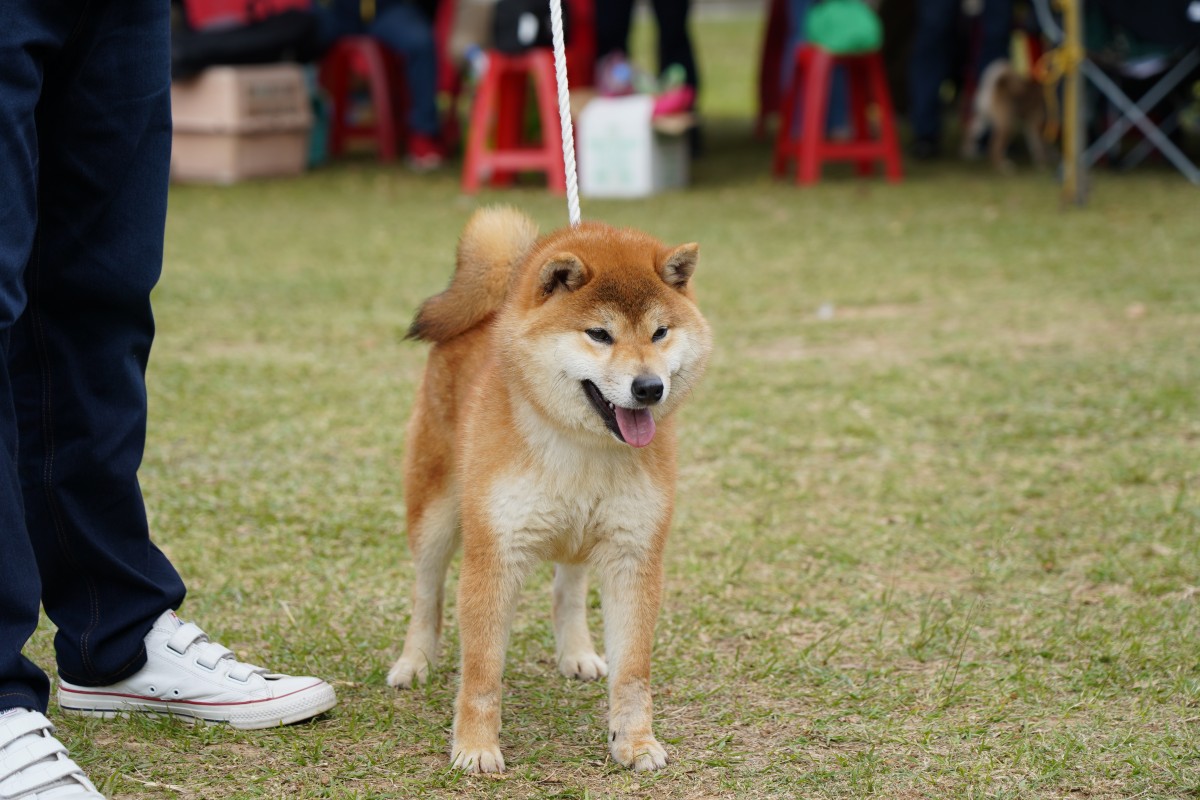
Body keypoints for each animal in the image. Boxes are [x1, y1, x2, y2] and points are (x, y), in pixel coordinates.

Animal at [386, 208, 710, 777]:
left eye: (660, 332)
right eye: (599, 334)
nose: (649, 388)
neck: (584, 447)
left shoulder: (634, 553)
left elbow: (633, 671)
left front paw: (634, 741)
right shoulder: (496, 553)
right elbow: (482, 673)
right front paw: (475, 746)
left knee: (569, 588)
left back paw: (576, 652)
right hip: (436, 514)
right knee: (427, 591)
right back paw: (415, 662)